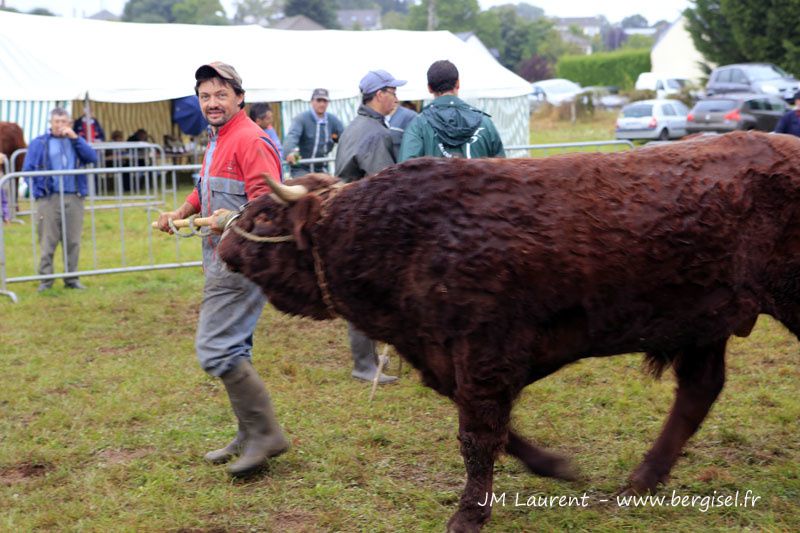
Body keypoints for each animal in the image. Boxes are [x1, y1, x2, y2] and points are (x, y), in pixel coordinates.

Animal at [216, 131, 800, 528]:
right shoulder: (447, 359)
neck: (404, 232)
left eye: (264, 216)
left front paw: (468, 515)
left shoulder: (484, 354)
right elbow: (494, 431)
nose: (221, 245)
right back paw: (644, 479)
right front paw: (553, 466)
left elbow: (477, 436)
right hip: (707, 321)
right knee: (698, 392)